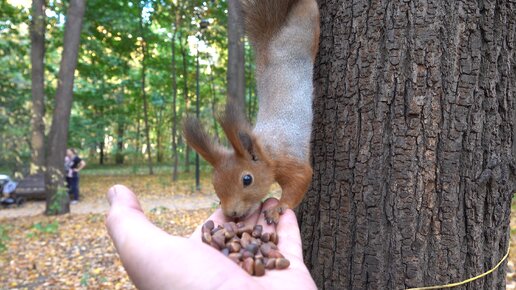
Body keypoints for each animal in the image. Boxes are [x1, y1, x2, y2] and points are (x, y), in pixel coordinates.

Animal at [181, 0, 318, 224]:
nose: (232, 214)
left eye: (247, 179)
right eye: (214, 183)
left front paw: (278, 207)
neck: (268, 150)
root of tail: (271, 38)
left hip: (305, 29)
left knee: (309, 10)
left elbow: (301, 180)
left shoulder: (290, 161)